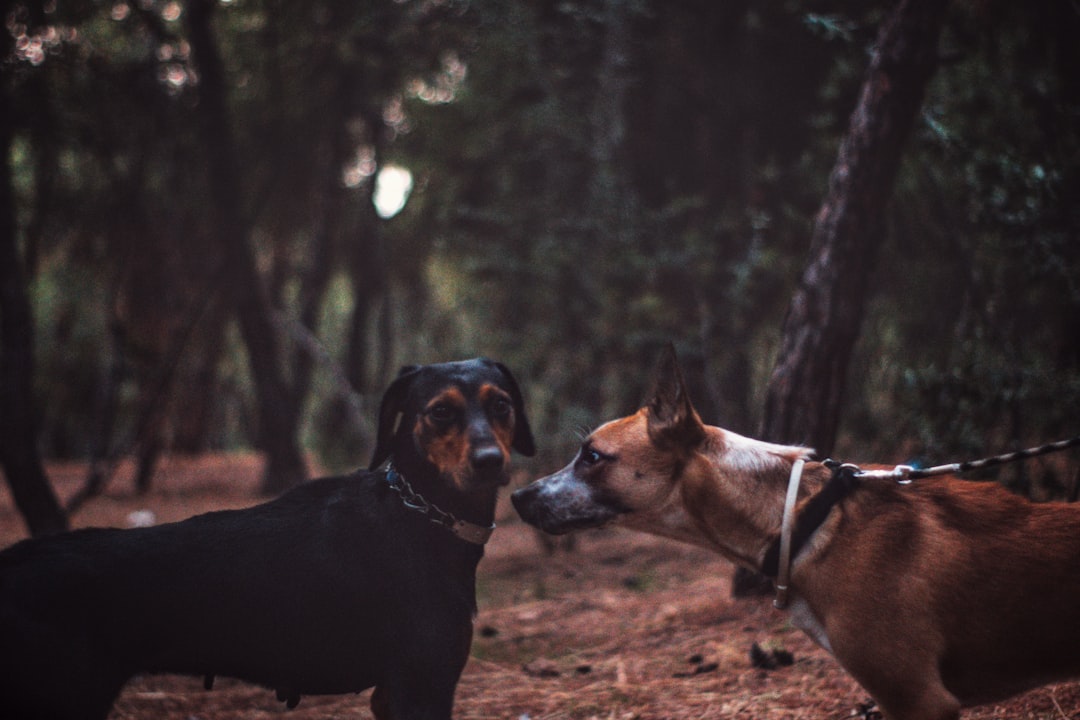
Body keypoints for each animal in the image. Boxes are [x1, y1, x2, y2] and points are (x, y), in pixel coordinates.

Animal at [0, 358, 535, 720]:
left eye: (501, 404)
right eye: (440, 412)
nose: (489, 461)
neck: (420, 514)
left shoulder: (393, 693)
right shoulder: (421, 686)